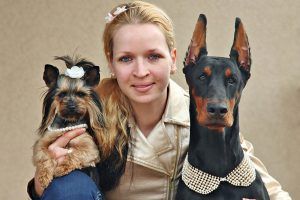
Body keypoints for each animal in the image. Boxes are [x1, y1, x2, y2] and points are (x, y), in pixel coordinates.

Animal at [32, 56, 106, 189]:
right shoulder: (41, 145)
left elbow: (73, 154)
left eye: (81, 94)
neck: (68, 122)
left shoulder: (90, 149)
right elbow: (45, 157)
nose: (72, 106)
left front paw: (62, 168)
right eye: (62, 94)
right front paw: (43, 177)